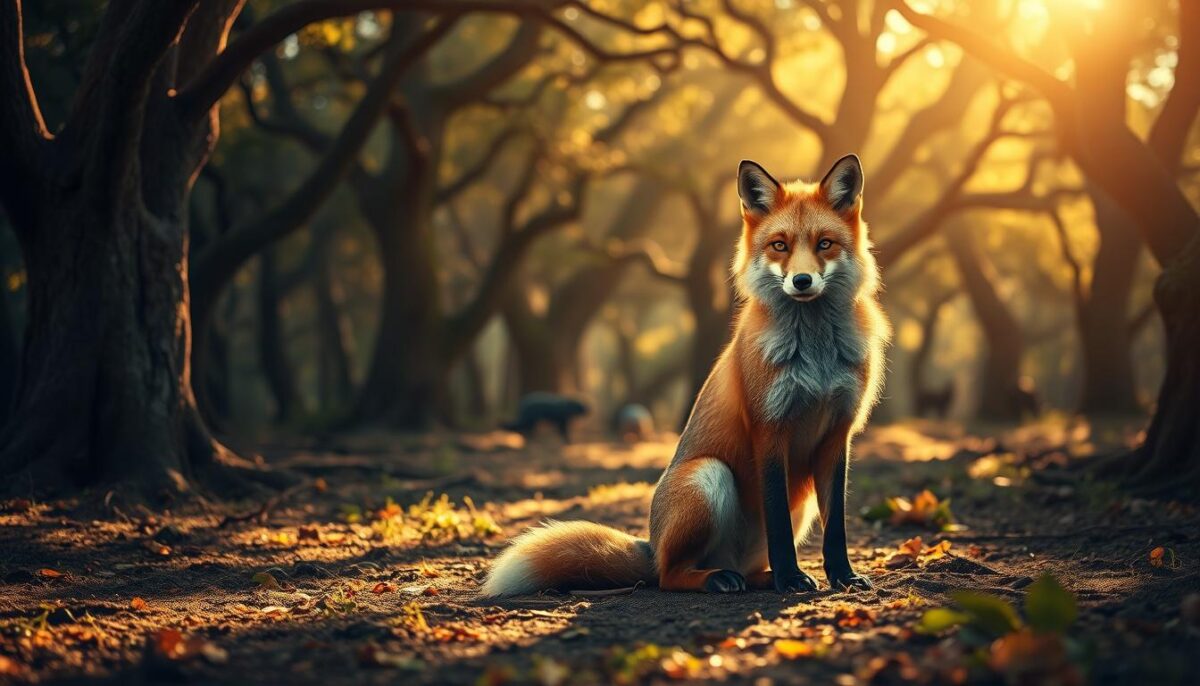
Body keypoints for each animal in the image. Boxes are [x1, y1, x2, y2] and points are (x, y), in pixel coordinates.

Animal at [481, 155, 891, 596]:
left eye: (824, 244)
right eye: (779, 245)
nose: (801, 281)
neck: (816, 357)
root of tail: (651, 544)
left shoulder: (838, 433)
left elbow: (837, 528)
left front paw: (843, 576)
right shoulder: (769, 427)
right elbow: (778, 524)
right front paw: (790, 578)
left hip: (801, 506)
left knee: (742, 569)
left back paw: (759, 578)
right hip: (708, 476)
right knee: (669, 576)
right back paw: (717, 578)